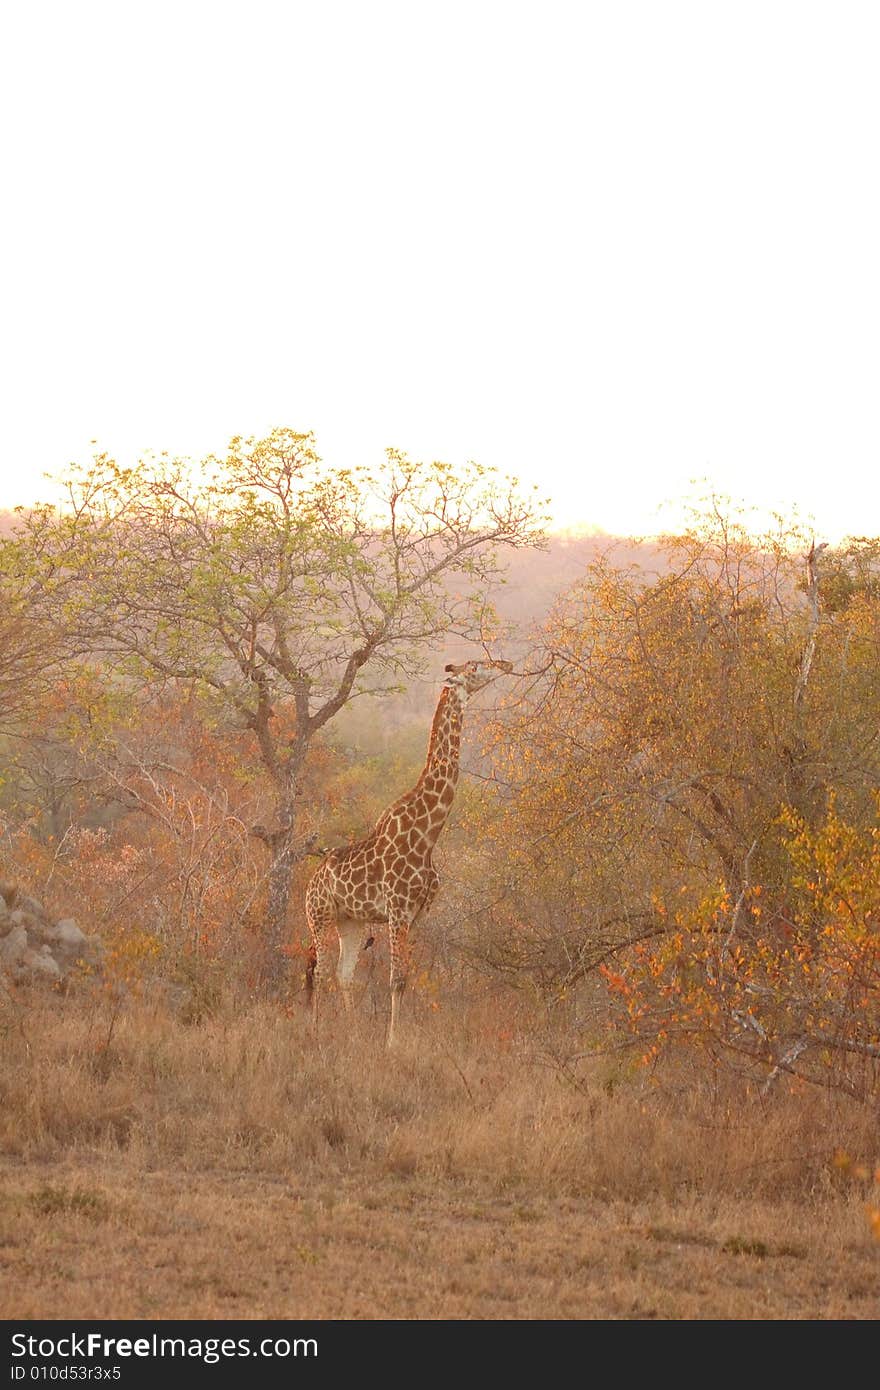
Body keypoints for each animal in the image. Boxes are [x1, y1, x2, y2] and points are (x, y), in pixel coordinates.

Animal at [301, 658, 511, 1045]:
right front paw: (393, 1043)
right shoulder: (398, 910)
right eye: (475, 667)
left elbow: (405, 979)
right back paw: (316, 1031)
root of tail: (312, 880)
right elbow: (396, 979)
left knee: (343, 973)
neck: (427, 834)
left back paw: (353, 1034)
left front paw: (394, 1038)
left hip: (350, 921)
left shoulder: (415, 914)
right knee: (319, 971)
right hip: (319, 915)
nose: (505, 664)